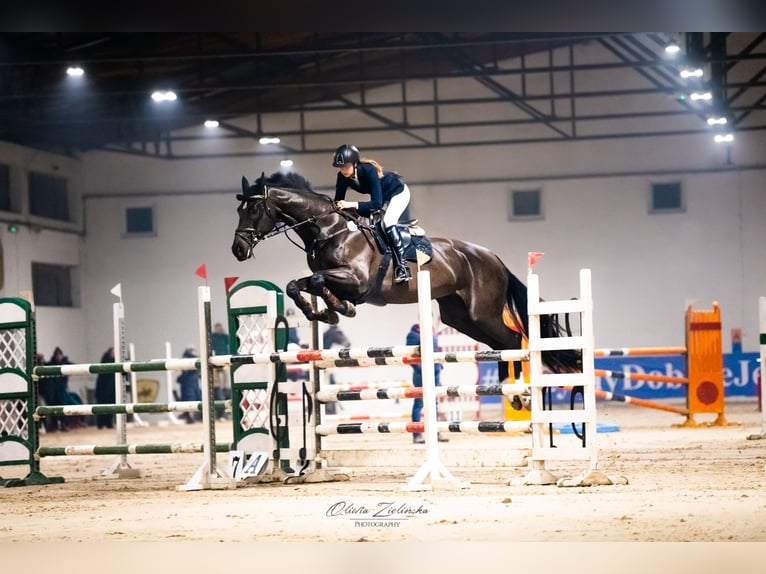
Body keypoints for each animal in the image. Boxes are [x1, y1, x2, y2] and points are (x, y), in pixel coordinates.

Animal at [231, 171, 580, 378]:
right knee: (499, 343)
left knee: (512, 340)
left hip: (483, 312)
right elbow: (296, 285)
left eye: (254, 209)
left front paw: (340, 309)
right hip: (461, 317)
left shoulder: (355, 280)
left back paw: (518, 393)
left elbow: (317, 282)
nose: (238, 249)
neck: (328, 229)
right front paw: (322, 312)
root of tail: (493, 257)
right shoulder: (330, 277)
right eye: (238, 210)